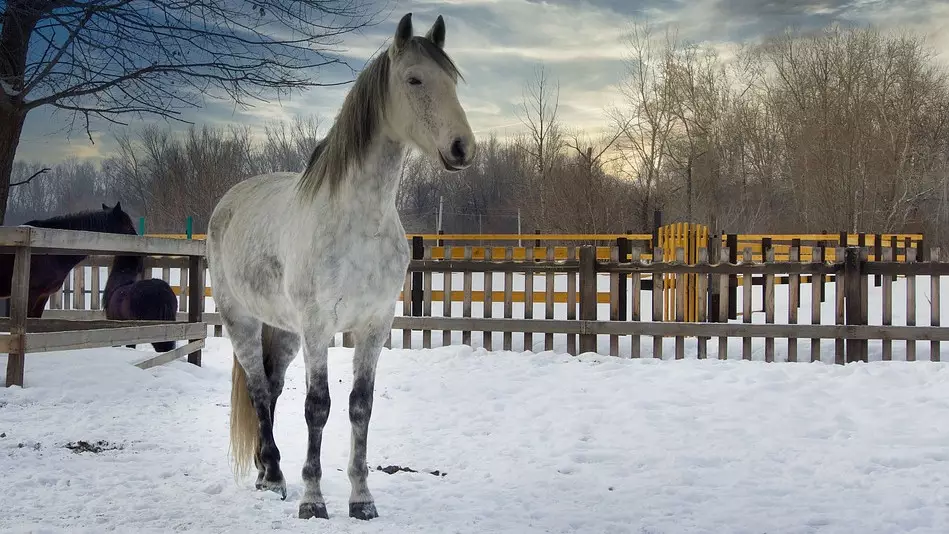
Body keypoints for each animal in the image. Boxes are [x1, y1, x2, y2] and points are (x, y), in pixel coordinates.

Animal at [207, 12, 474, 524]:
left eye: (452, 80)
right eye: (414, 79)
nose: (462, 148)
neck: (358, 222)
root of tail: (228, 202)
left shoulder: (374, 325)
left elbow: (360, 406)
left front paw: (362, 498)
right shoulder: (318, 327)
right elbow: (318, 407)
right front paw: (313, 500)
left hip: (283, 331)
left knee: (271, 387)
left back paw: (266, 471)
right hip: (243, 322)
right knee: (258, 391)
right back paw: (274, 477)